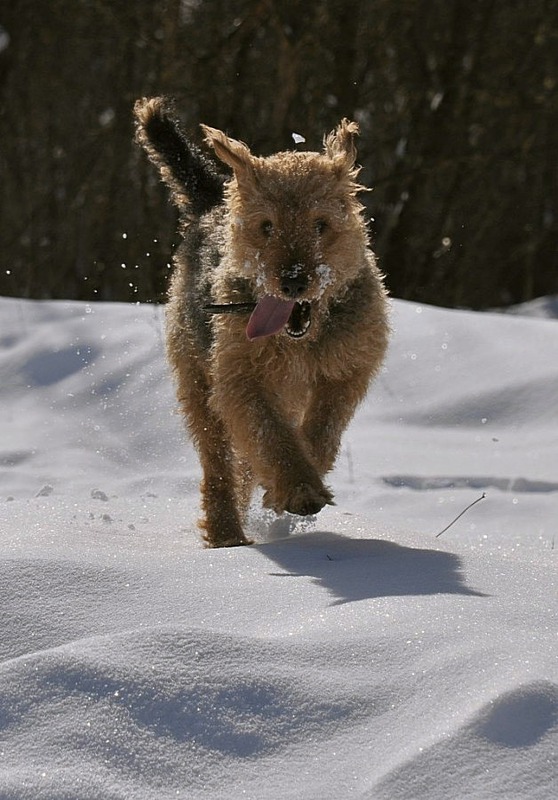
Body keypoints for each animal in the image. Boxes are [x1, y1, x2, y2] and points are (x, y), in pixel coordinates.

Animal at [134, 97, 392, 548]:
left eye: (321, 224)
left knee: (244, 466)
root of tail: (211, 203)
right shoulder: (240, 379)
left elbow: (320, 432)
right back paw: (227, 536)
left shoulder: (348, 370)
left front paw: (299, 482)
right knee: (219, 468)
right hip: (198, 385)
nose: (292, 281)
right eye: (266, 226)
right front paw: (298, 489)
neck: (302, 338)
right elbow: (270, 436)